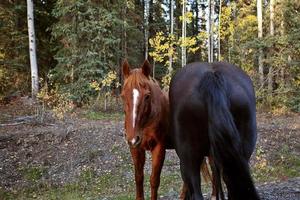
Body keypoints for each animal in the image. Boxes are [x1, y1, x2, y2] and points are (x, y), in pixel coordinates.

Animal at [120, 59, 170, 200]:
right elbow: (139, 177)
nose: (133, 138)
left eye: (147, 96)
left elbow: (154, 180)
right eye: (122, 96)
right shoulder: (135, 148)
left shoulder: (159, 148)